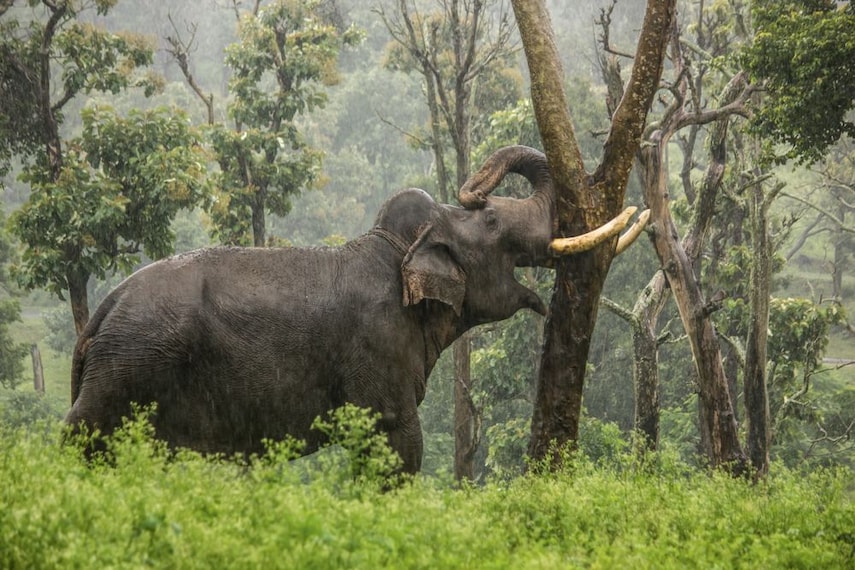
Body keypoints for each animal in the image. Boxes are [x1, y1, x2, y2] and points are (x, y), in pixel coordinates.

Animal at [65, 145, 644, 473]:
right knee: (84, 437)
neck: (394, 247)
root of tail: (101, 313)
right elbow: (399, 442)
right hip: (127, 368)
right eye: (493, 222)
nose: (475, 189)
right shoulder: (379, 349)